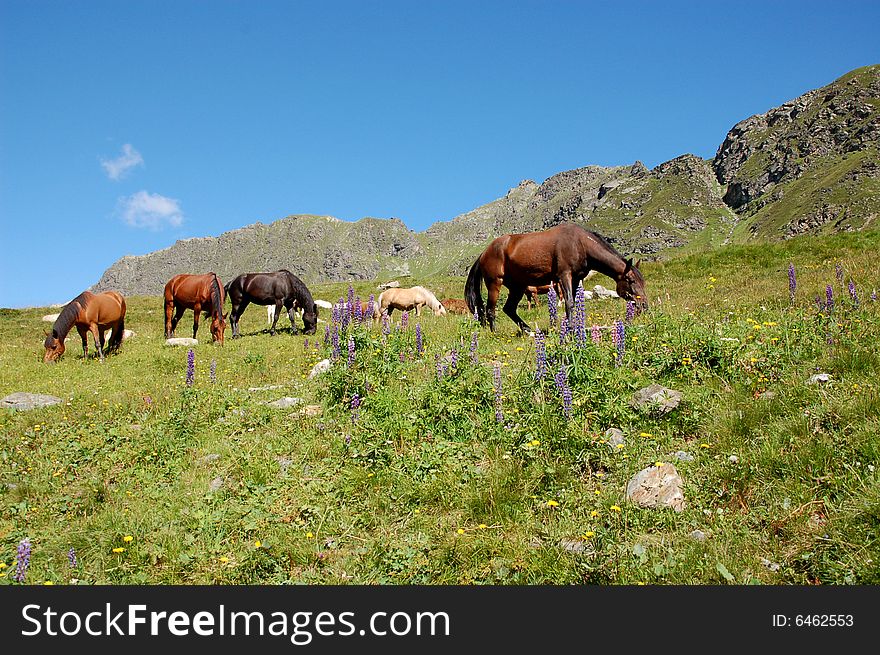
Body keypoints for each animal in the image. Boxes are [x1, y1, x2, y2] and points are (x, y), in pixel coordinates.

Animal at [468, 223, 648, 334]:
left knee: (509, 309)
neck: (580, 243)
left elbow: (574, 302)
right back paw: (495, 332)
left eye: (642, 282)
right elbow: (569, 302)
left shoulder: (576, 279)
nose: (644, 306)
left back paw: (529, 331)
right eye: (631, 281)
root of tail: (484, 253)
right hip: (495, 284)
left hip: (517, 287)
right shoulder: (564, 276)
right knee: (491, 310)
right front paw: (571, 328)